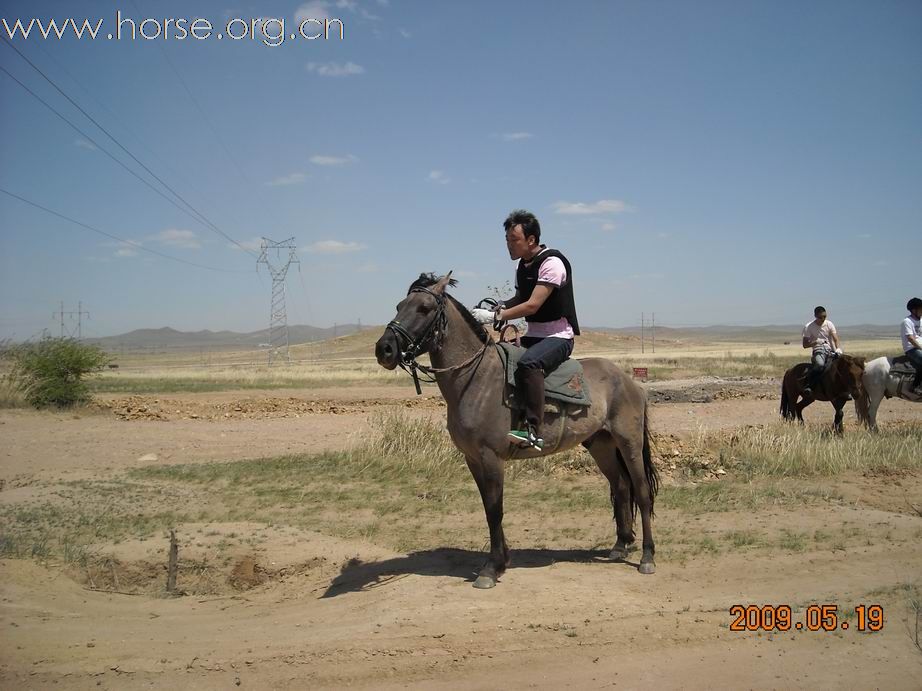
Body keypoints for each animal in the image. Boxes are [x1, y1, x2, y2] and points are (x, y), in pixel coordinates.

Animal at [370, 274, 656, 588]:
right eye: (399, 305)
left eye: (423, 308)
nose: (384, 349)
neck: (475, 379)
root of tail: (629, 381)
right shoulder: (473, 459)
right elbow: (488, 508)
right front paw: (501, 559)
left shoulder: (491, 457)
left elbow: (496, 510)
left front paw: (492, 568)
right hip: (601, 445)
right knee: (621, 486)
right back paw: (620, 545)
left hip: (628, 443)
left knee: (641, 491)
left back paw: (647, 557)